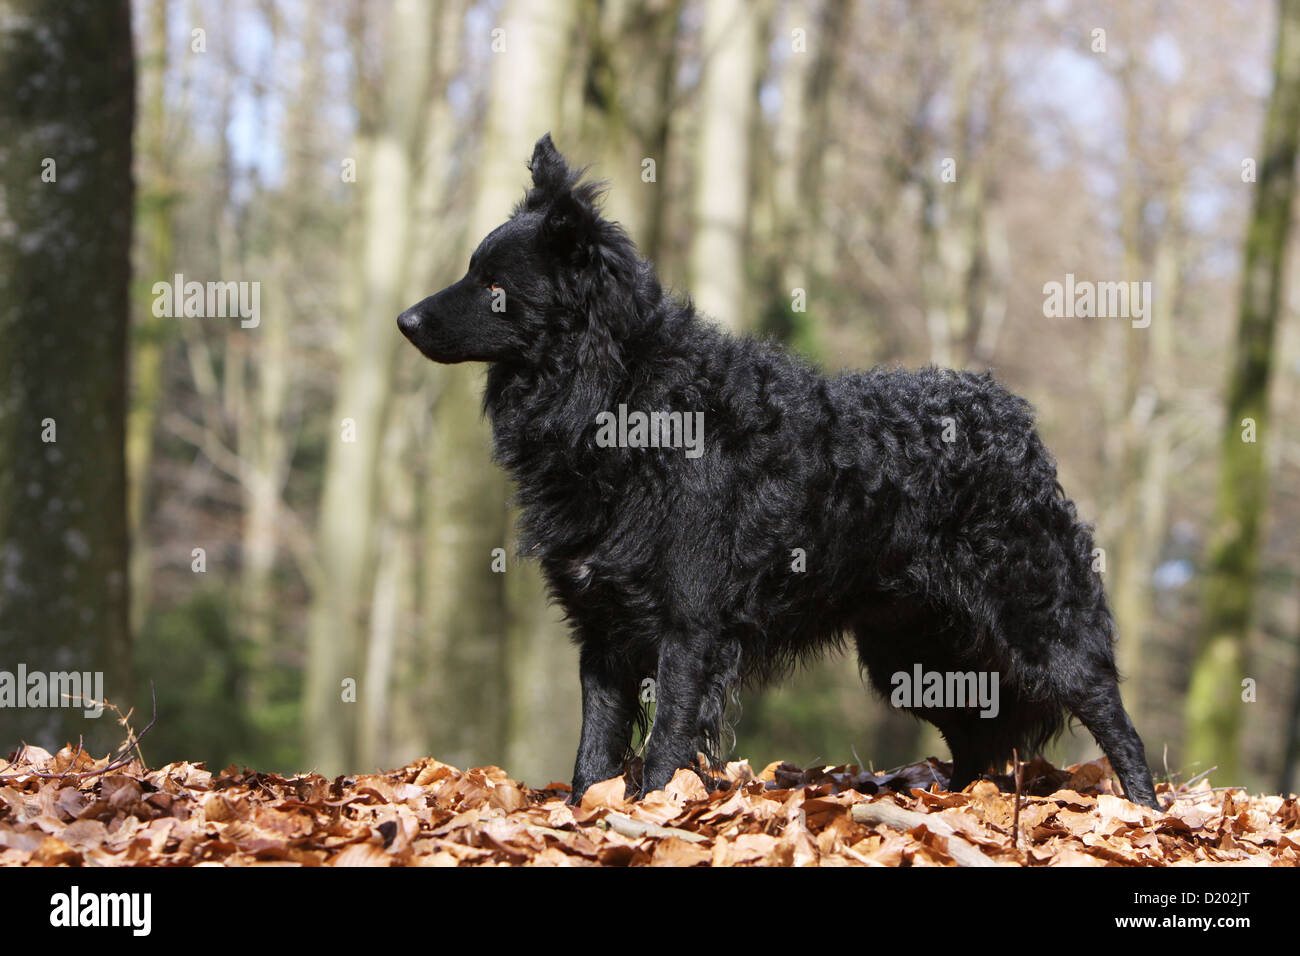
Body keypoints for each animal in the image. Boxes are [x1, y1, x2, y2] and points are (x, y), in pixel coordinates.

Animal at [395, 134, 1159, 806]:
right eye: (472, 272)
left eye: (494, 285)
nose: (404, 320)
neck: (624, 394)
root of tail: (1008, 415)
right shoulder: (602, 631)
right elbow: (596, 745)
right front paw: (585, 814)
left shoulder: (687, 628)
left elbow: (666, 741)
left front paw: (651, 812)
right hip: (914, 649)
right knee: (977, 743)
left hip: (1039, 626)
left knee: (1113, 720)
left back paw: (1144, 811)